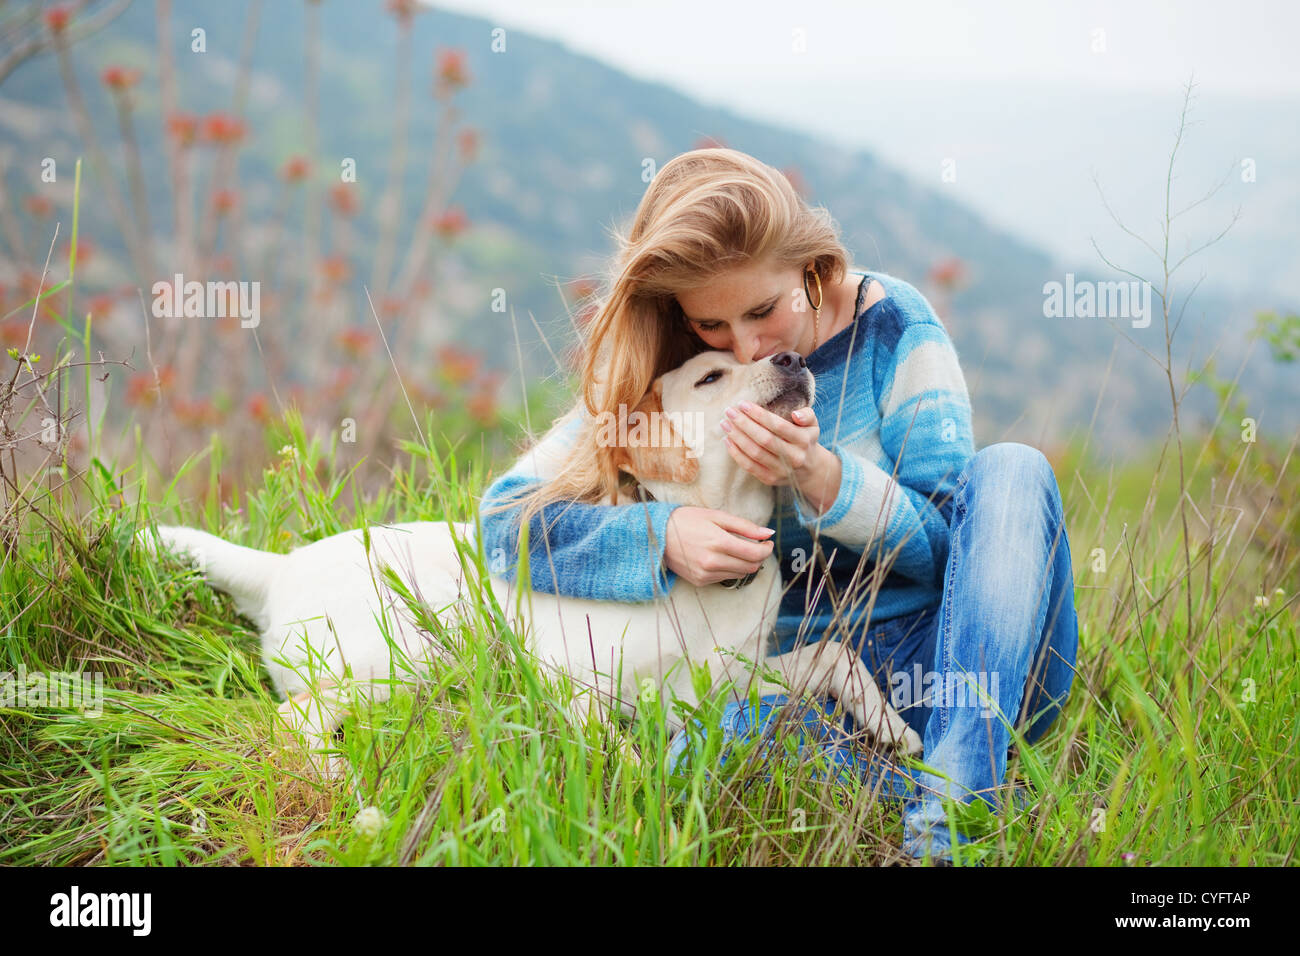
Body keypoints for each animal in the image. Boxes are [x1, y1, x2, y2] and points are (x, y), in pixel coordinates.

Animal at [137, 351, 920, 780]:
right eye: (710, 376)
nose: (793, 357)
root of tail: (277, 568)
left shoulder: (724, 680)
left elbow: (835, 653)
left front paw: (894, 728)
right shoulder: (576, 686)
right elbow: (624, 751)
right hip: (401, 660)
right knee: (290, 720)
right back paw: (336, 774)